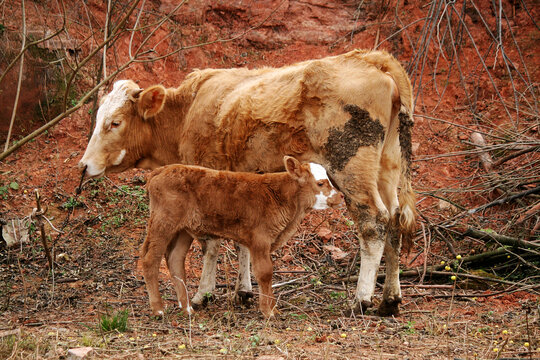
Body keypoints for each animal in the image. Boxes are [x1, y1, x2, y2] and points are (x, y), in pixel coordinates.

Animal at [141, 158, 340, 318]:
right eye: (320, 183)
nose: (338, 197)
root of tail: (162, 170)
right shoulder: (260, 239)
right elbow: (265, 272)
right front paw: (268, 311)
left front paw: (273, 308)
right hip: (163, 223)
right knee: (150, 260)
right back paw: (158, 309)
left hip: (183, 230)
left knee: (175, 259)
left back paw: (187, 308)